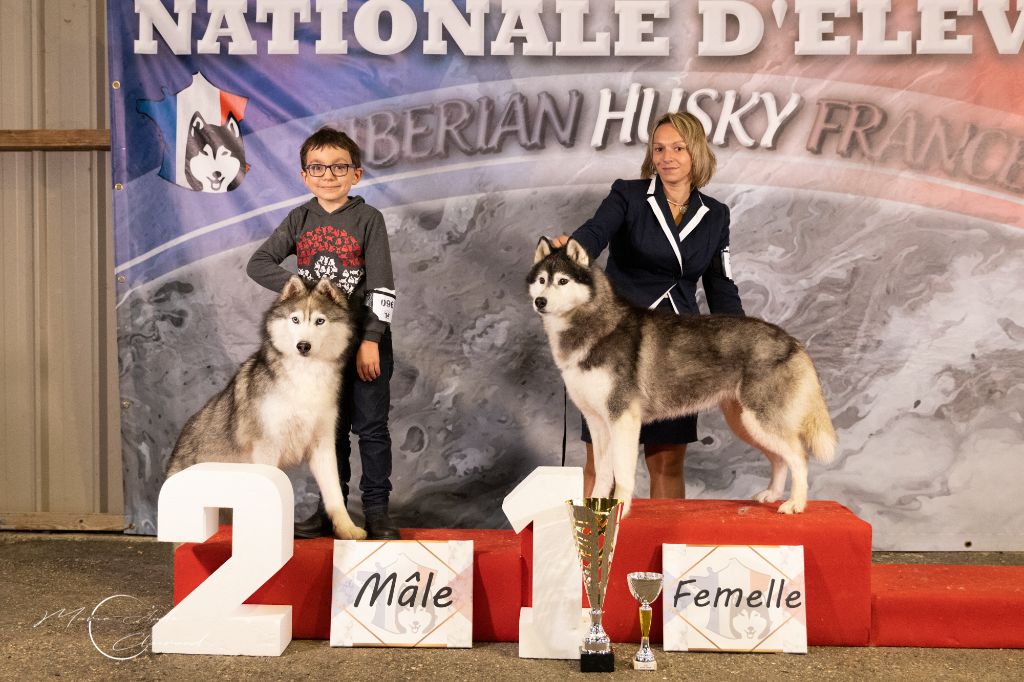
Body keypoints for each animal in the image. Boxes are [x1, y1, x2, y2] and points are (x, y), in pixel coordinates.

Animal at [165, 276, 366, 540]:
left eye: (320, 321)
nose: (303, 345)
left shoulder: (322, 444)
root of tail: (179, 441)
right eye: (295, 319)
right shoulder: (267, 447)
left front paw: (347, 528)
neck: (305, 376)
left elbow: (334, 493)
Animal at [528, 238, 836, 515]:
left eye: (563, 281)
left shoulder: (622, 419)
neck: (595, 327)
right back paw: (772, 494)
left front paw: (620, 511)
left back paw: (795, 504)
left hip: (760, 420)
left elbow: (622, 472)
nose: (539, 301)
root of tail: (792, 341)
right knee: (781, 459)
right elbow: (603, 473)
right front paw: (596, 511)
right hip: (747, 423)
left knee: (799, 457)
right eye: (542, 280)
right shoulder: (597, 422)